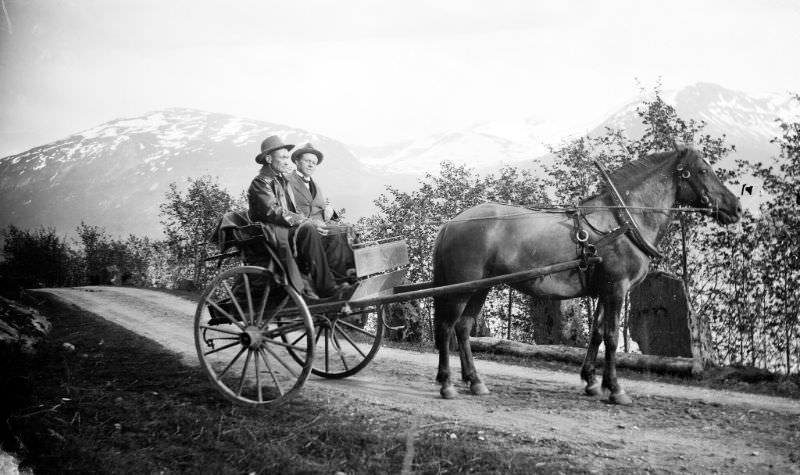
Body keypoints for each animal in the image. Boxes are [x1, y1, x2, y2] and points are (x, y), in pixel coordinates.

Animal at [434, 146, 740, 406]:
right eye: (702, 170)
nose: (735, 206)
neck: (623, 222)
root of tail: (451, 223)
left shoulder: (605, 290)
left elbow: (597, 334)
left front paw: (592, 382)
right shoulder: (617, 289)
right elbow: (612, 337)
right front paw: (615, 389)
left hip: (479, 288)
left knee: (463, 329)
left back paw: (475, 381)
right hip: (461, 289)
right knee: (448, 328)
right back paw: (447, 384)